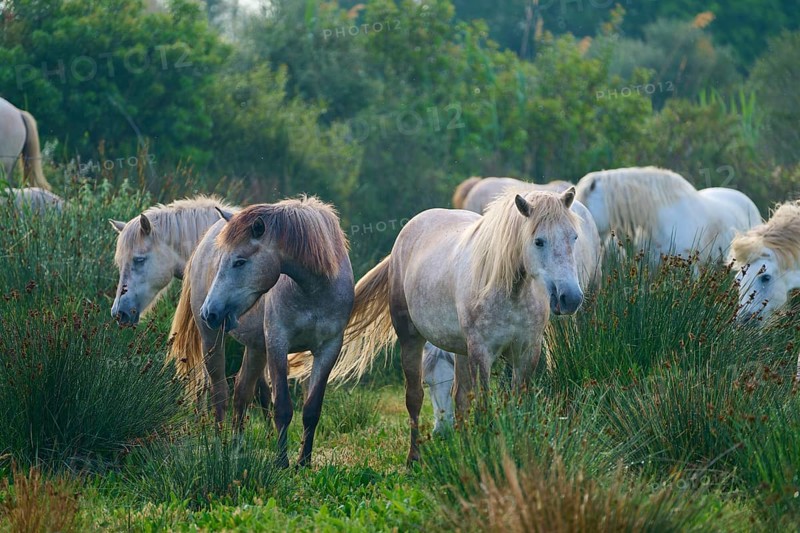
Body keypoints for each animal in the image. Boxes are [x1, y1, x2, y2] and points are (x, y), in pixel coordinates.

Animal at [196, 196, 354, 467]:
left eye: (240, 261)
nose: (209, 312)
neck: (313, 291)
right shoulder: (278, 343)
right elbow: (282, 406)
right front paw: (281, 462)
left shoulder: (329, 349)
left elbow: (312, 409)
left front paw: (304, 462)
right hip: (212, 339)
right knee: (220, 394)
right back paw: (217, 448)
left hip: (256, 348)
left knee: (241, 393)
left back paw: (236, 449)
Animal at [314, 188, 583, 464]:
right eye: (539, 241)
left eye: (573, 237)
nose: (571, 298)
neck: (511, 290)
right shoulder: (482, 352)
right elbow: (484, 405)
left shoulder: (526, 352)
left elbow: (516, 403)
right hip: (412, 339)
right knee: (414, 397)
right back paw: (414, 458)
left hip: (461, 351)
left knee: (460, 398)